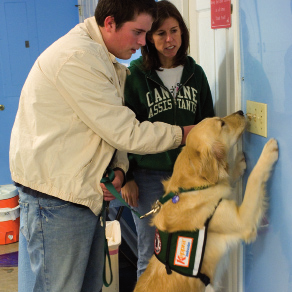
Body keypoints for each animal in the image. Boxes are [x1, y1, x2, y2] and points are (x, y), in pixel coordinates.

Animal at [134, 110, 278, 290]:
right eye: (222, 123)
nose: (240, 112)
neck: (192, 188)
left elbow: (226, 177)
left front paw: (237, 164)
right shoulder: (242, 221)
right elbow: (254, 178)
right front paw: (268, 152)